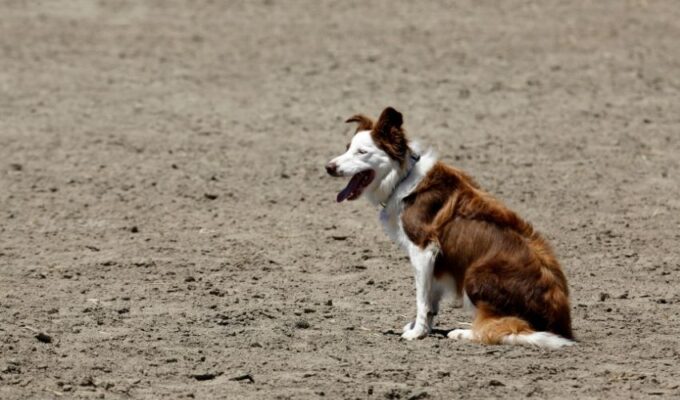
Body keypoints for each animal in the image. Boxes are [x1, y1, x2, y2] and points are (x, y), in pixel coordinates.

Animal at [324, 108, 572, 348]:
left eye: (362, 152)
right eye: (347, 148)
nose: (329, 167)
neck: (402, 178)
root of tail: (559, 319)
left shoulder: (422, 249)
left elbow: (421, 298)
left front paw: (416, 333)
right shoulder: (434, 258)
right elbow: (430, 299)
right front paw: (423, 327)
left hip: (475, 274)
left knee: (502, 328)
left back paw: (463, 333)